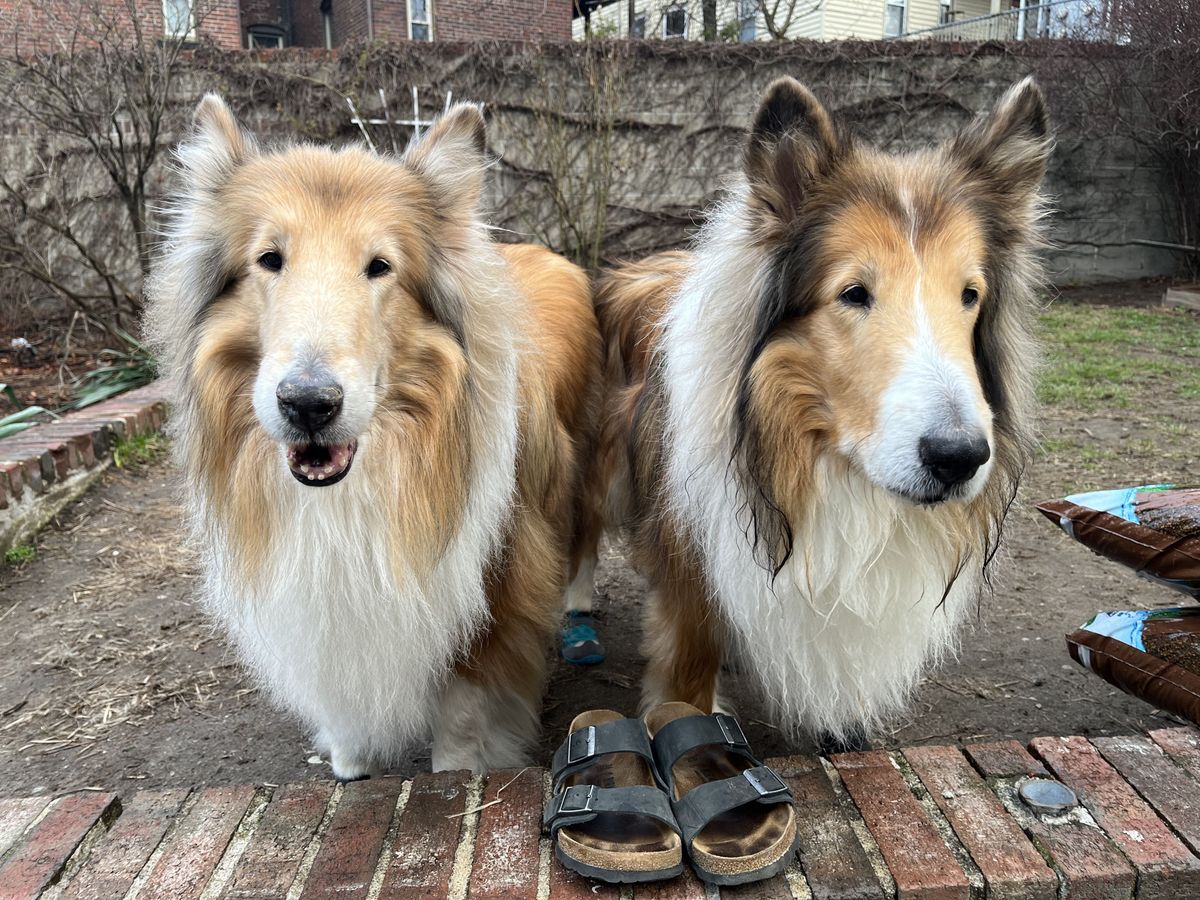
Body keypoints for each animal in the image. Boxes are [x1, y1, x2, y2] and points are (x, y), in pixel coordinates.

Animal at [147, 95, 600, 777]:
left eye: (380, 266)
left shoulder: (488, 591)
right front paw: (347, 765)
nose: (308, 404)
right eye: (270, 258)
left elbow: (461, 713)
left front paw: (455, 774)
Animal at [590, 77, 1051, 748]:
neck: (815, 462)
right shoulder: (691, 576)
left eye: (969, 295)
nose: (959, 457)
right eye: (854, 293)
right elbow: (688, 683)